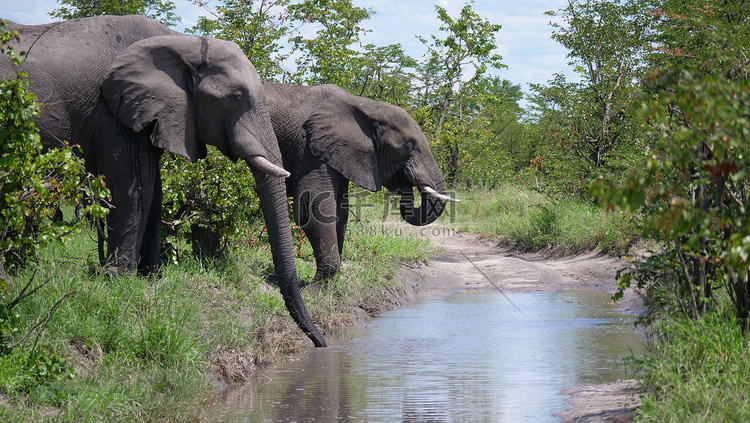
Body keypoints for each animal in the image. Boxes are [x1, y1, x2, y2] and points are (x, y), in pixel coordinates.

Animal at [1, 15, 328, 348]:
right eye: (236, 98)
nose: (321, 343)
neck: (182, 42)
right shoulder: (112, 112)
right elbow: (134, 189)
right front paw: (118, 281)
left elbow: (154, 192)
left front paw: (152, 279)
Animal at [262, 80, 458, 284]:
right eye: (409, 146)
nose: (406, 182)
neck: (368, 107)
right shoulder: (310, 147)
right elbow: (313, 206)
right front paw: (316, 287)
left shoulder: (337, 152)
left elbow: (341, 210)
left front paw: (332, 283)